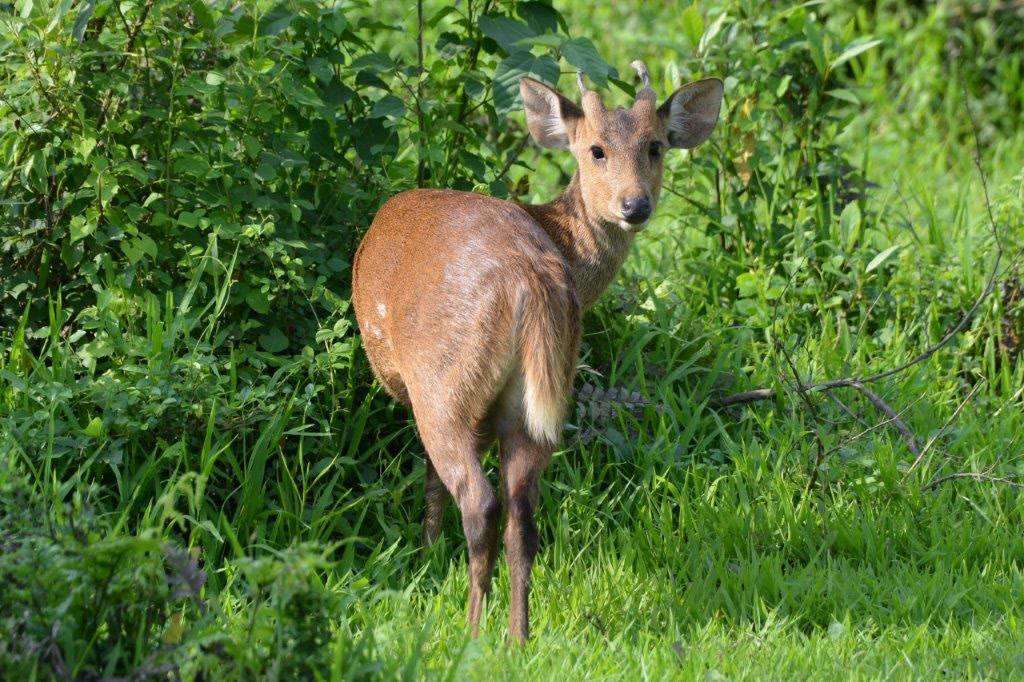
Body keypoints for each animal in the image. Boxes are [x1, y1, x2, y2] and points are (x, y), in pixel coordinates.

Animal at [352, 61, 723, 643]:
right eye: (596, 149)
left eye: (656, 145)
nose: (635, 205)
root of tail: (528, 277)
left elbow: (432, 483)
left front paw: (428, 555)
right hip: (537, 398)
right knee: (522, 515)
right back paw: (518, 636)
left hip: (443, 386)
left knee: (480, 502)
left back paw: (472, 630)